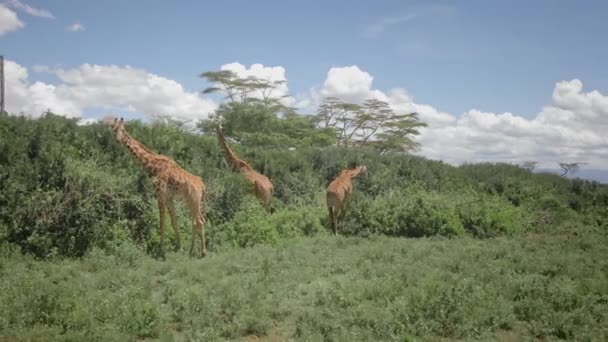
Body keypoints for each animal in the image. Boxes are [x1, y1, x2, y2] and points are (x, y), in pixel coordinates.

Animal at [111, 117, 209, 256]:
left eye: (123, 130)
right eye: (114, 129)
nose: (118, 140)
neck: (154, 167)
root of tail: (202, 185)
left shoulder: (160, 194)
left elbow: (162, 222)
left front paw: (161, 251)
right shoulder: (169, 198)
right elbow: (174, 222)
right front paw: (179, 248)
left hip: (193, 200)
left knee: (199, 221)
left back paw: (203, 252)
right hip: (192, 201)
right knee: (196, 221)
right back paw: (191, 251)